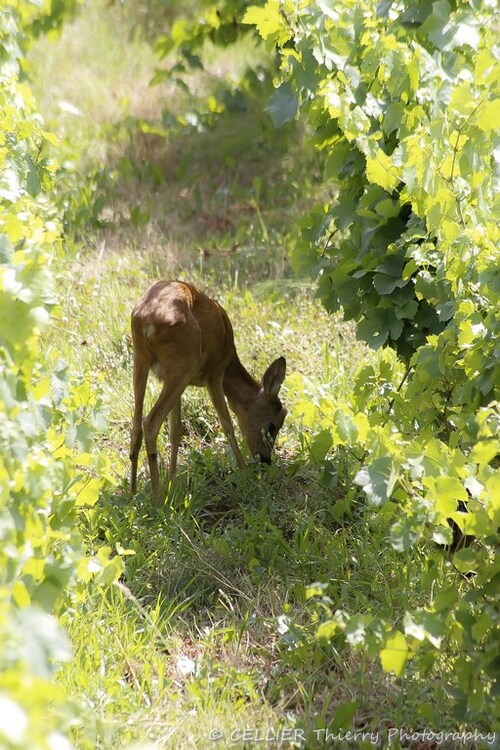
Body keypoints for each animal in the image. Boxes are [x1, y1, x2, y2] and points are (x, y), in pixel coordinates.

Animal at [129, 280, 288, 500]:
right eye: (272, 425)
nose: (266, 460)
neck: (229, 359)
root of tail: (146, 320)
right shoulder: (214, 373)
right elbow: (227, 423)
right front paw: (244, 473)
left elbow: (176, 429)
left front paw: (172, 482)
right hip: (182, 365)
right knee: (150, 423)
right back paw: (157, 497)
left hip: (142, 360)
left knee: (136, 426)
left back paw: (132, 494)